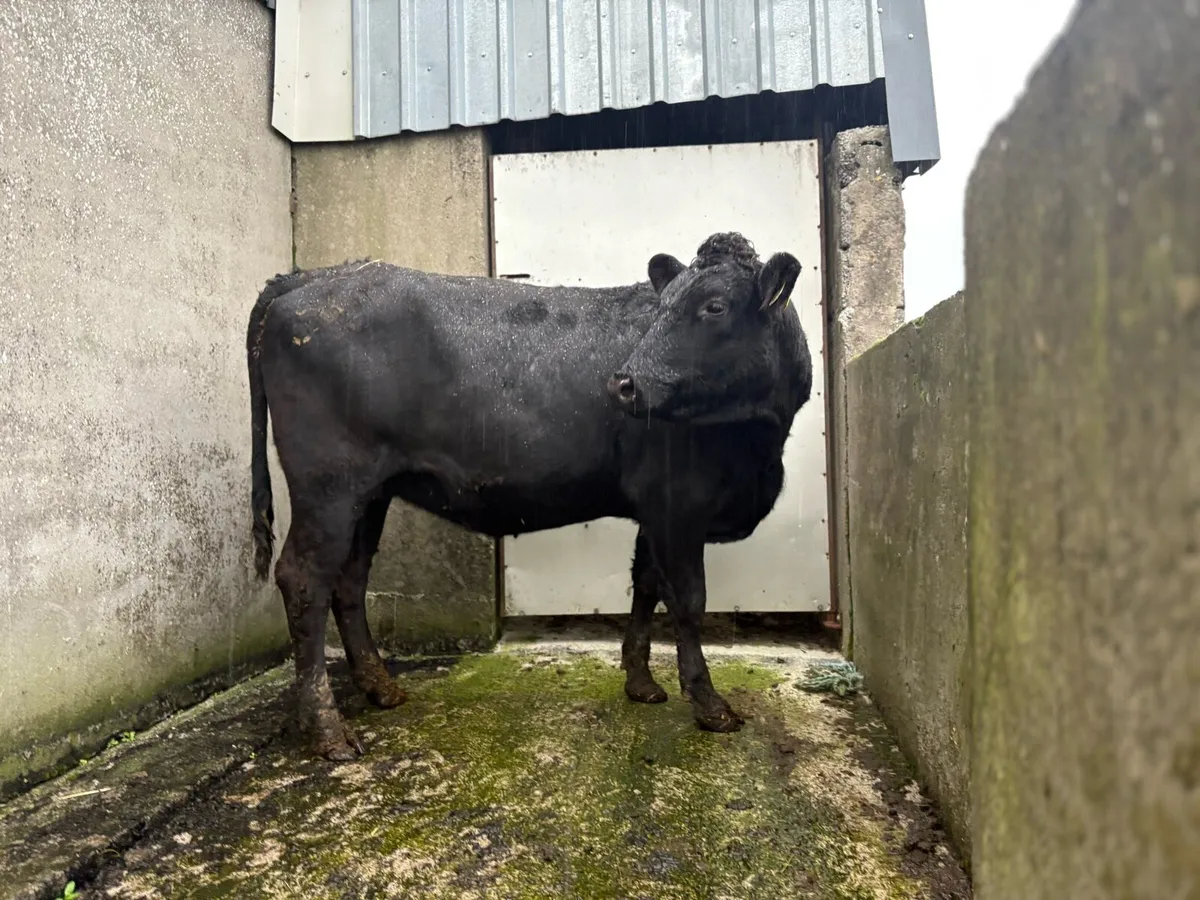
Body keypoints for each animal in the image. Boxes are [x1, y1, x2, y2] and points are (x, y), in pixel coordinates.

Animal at [246, 232, 813, 760]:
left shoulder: (653, 510)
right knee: (304, 580)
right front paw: (710, 705)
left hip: (369, 494)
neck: (761, 449)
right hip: (329, 485)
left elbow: (645, 586)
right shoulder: (678, 506)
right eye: (667, 302)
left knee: (349, 580)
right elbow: (688, 602)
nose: (624, 384)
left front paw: (641, 683)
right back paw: (327, 729)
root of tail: (314, 275)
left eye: (714, 306)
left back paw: (381, 687)